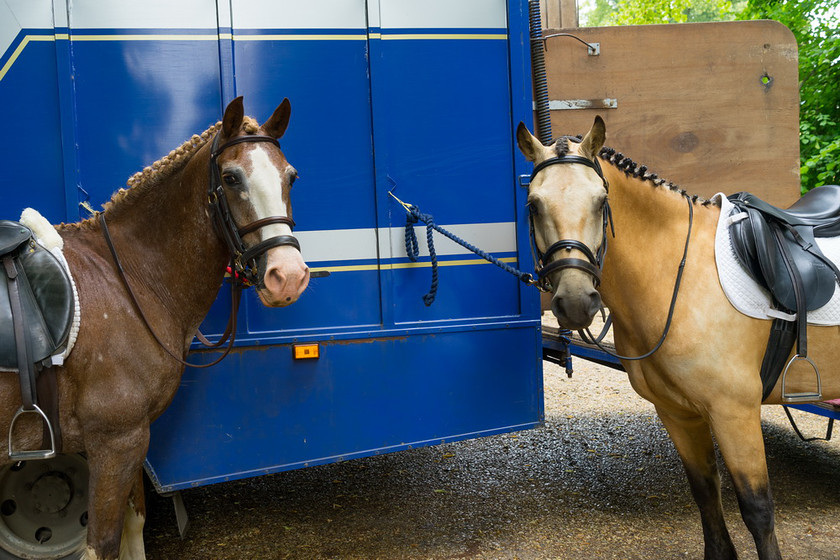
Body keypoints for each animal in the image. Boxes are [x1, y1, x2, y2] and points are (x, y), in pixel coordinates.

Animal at [0, 97, 308, 560]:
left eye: (290, 176)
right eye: (231, 177)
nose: (287, 277)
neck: (127, 277)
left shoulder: (134, 439)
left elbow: (135, 523)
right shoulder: (115, 441)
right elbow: (103, 544)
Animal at [520, 118, 840, 560]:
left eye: (601, 201)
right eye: (533, 205)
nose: (576, 302)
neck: (680, 276)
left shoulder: (734, 413)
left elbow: (758, 511)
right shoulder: (678, 413)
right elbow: (706, 494)